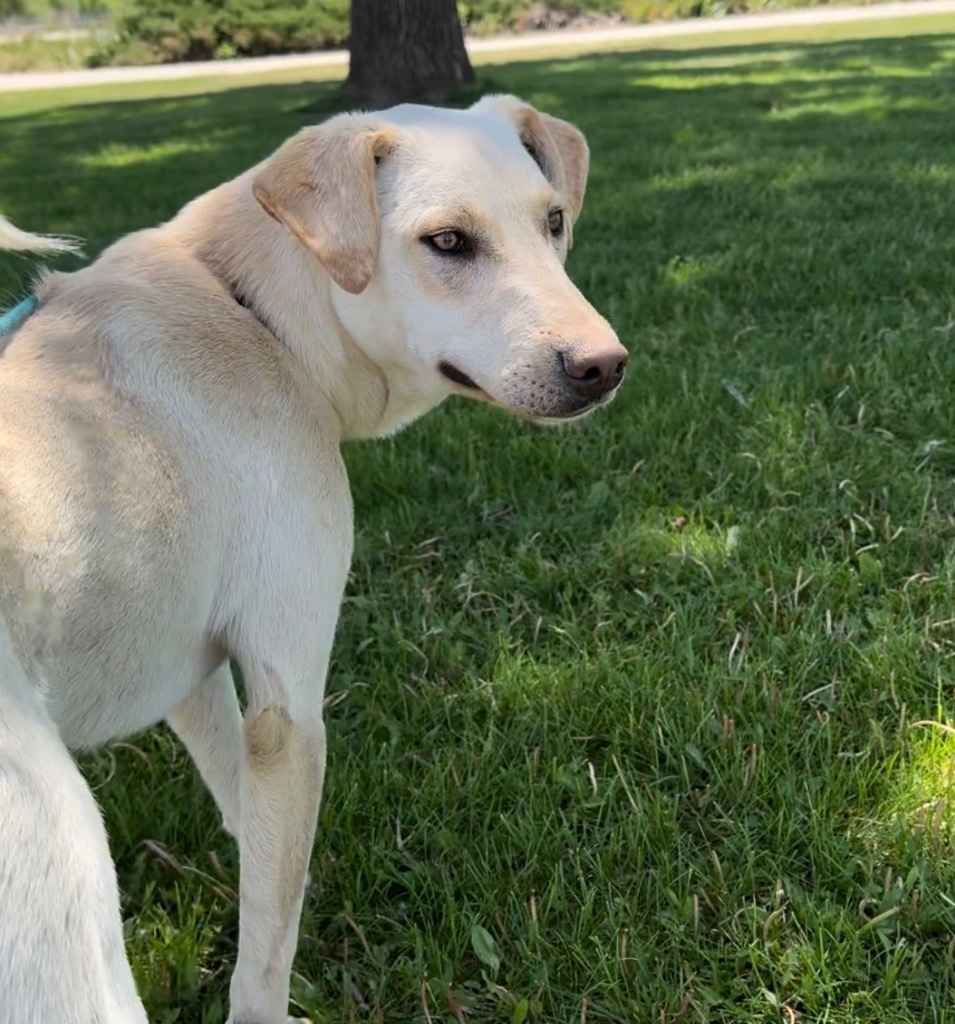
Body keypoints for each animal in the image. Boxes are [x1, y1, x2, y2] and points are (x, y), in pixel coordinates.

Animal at [0, 92, 626, 1019]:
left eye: (553, 221)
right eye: (447, 242)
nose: (604, 368)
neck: (255, 315)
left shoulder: (193, 676)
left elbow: (255, 839)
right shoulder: (289, 705)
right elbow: (263, 958)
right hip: (61, 884)